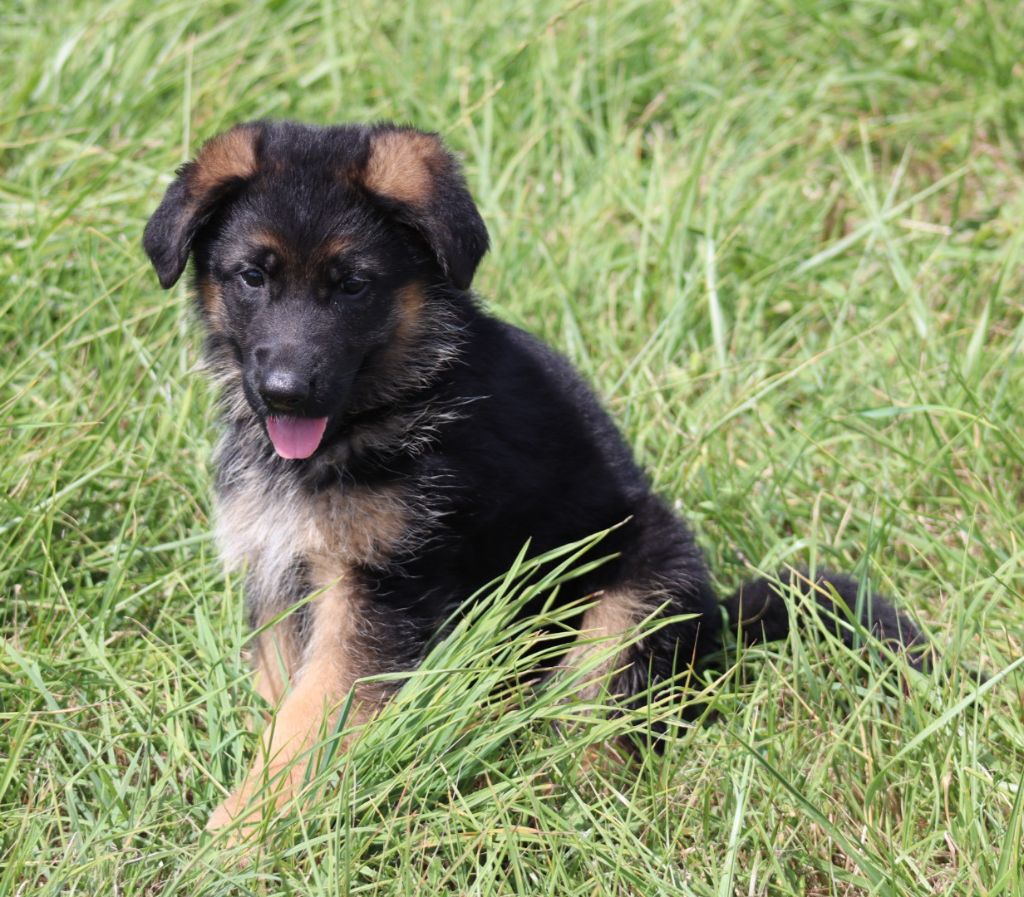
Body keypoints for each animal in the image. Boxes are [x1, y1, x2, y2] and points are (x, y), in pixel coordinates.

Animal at [144, 119, 929, 835]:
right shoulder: (280, 572)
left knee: (598, 730)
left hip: (628, 608)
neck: (381, 410)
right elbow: (283, 699)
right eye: (253, 277)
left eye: (353, 286)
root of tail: (718, 625)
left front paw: (243, 833)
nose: (285, 393)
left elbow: (310, 721)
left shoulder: (376, 587)